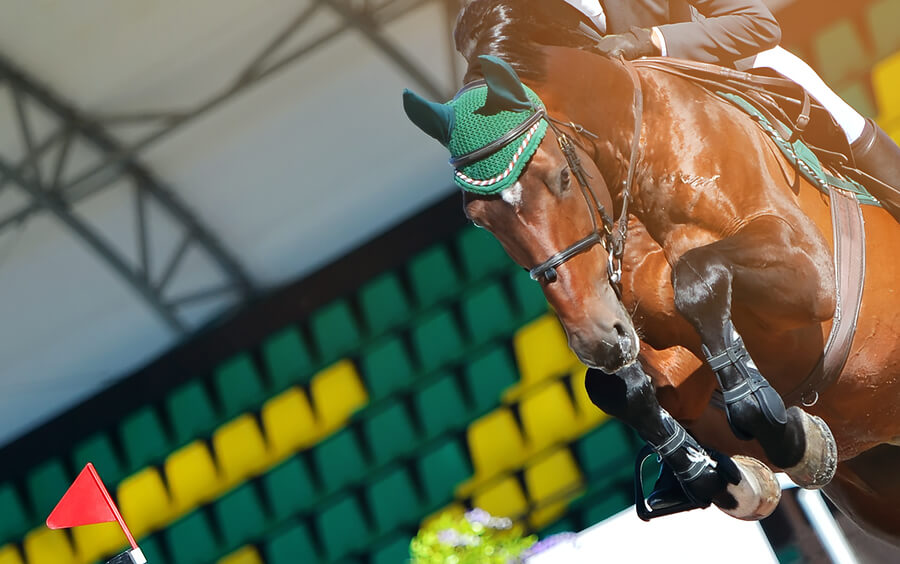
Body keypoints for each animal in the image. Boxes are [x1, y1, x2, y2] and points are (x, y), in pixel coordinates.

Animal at [402, 0, 900, 545]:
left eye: (559, 177)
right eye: (478, 220)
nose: (596, 340)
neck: (638, 164)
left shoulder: (810, 268)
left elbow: (697, 280)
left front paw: (787, 430)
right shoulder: (661, 345)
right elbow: (613, 386)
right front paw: (715, 474)